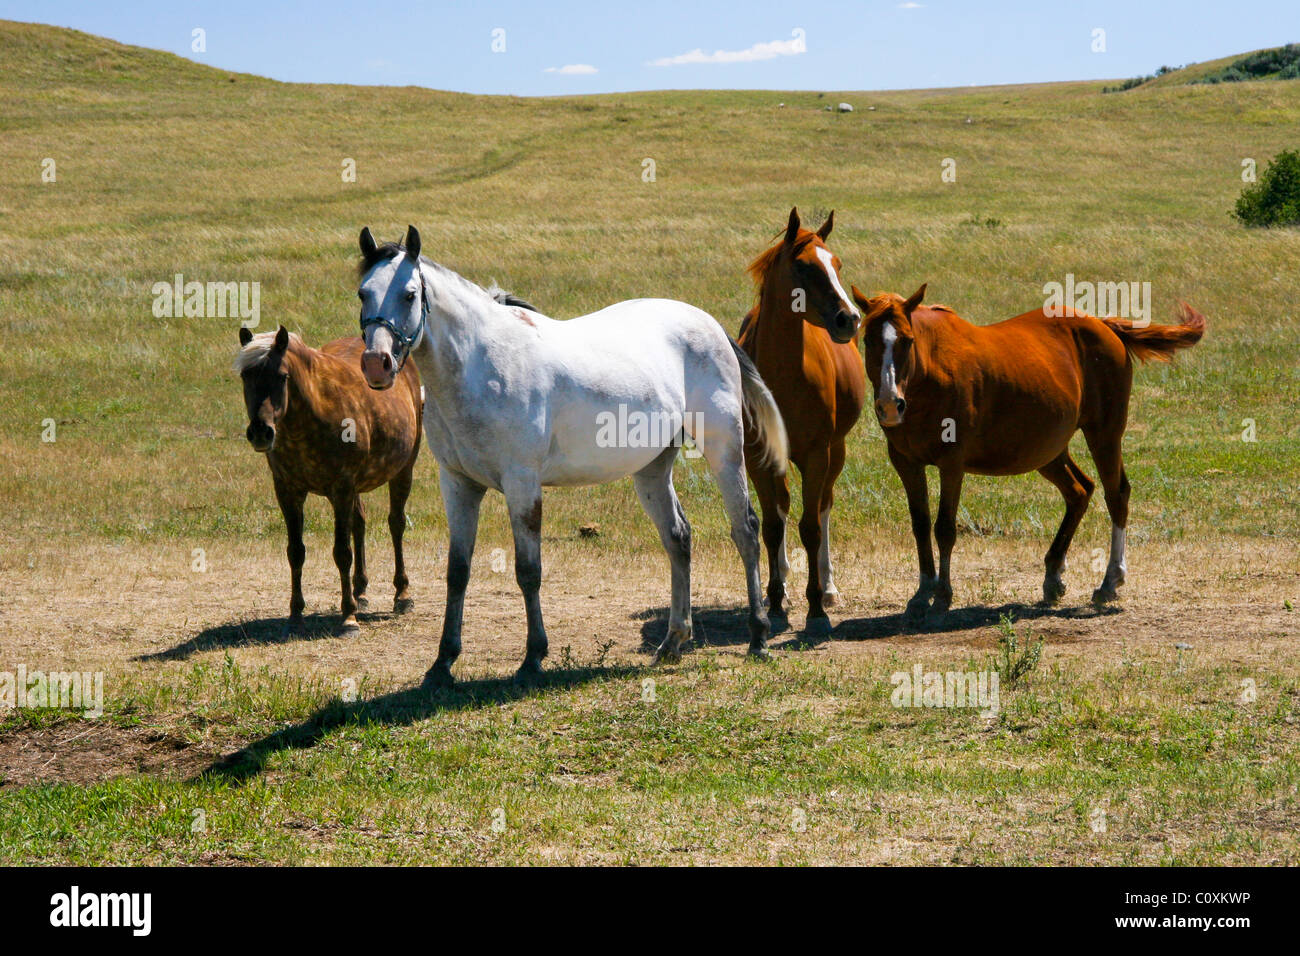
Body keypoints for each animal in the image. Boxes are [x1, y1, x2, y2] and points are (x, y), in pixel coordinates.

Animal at [236, 323, 423, 634]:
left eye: (281, 376)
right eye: (245, 376)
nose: (261, 432)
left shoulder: (342, 488)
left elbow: (342, 552)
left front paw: (348, 617)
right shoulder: (288, 491)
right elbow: (296, 551)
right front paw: (295, 613)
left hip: (403, 470)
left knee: (396, 524)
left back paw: (402, 595)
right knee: (359, 523)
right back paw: (360, 592)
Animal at [353, 223, 790, 686]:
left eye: (409, 294)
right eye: (363, 293)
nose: (377, 364)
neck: (480, 365)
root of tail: (710, 325)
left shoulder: (522, 484)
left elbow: (528, 571)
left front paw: (532, 658)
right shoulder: (458, 484)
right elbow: (458, 572)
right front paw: (442, 663)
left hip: (724, 450)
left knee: (746, 530)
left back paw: (758, 637)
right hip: (652, 470)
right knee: (678, 537)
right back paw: (672, 642)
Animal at [738, 209, 868, 634]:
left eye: (837, 265)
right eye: (804, 266)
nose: (850, 319)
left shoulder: (817, 454)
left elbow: (810, 526)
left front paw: (816, 610)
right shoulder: (759, 458)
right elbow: (772, 526)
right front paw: (777, 601)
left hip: (835, 453)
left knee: (824, 507)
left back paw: (827, 588)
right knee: (780, 509)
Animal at [847, 286, 1201, 629]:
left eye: (907, 340)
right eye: (869, 340)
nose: (890, 404)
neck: (931, 372)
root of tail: (1103, 325)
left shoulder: (952, 464)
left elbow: (944, 528)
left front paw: (942, 598)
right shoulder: (906, 463)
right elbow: (920, 526)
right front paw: (921, 595)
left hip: (1104, 435)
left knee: (1116, 495)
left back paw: (1110, 581)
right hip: (1047, 451)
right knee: (1079, 490)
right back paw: (1053, 574)